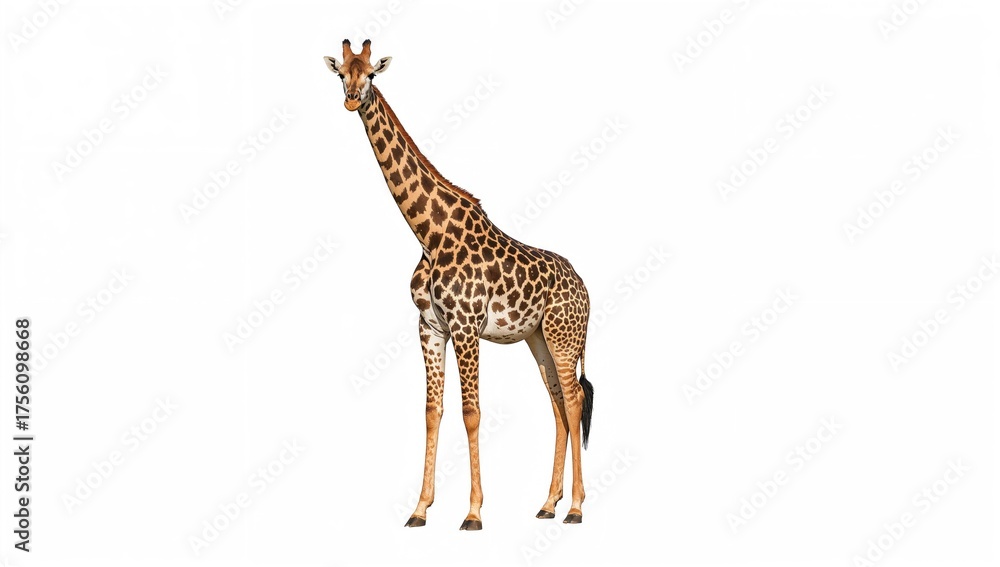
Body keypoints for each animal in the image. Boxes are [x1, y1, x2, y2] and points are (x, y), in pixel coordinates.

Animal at [324, 39, 594, 530]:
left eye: (371, 73)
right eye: (341, 74)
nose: (352, 100)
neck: (429, 235)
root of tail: (586, 289)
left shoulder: (467, 326)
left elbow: (471, 412)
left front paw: (472, 512)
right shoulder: (430, 326)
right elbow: (432, 411)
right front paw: (419, 509)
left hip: (565, 337)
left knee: (574, 399)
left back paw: (577, 508)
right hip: (540, 339)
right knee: (558, 406)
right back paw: (548, 504)